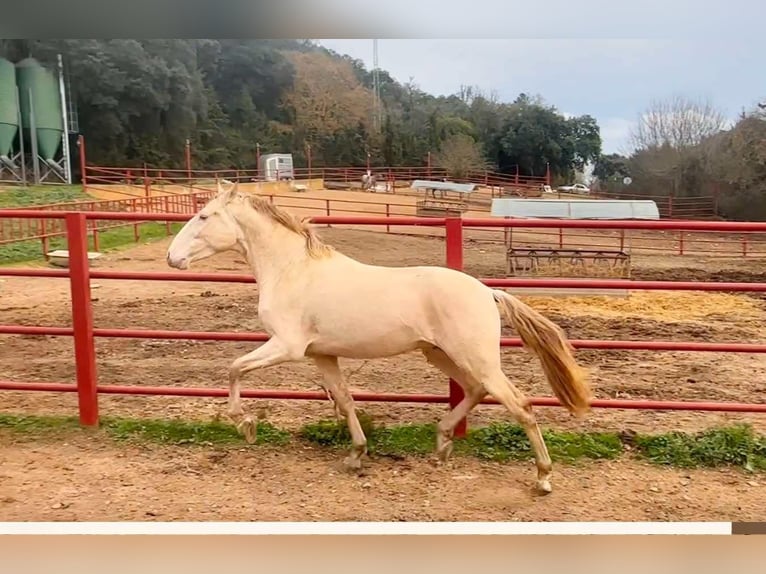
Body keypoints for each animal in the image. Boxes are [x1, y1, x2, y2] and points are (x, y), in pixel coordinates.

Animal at [165, 181, 592, 496]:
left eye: (204, 215)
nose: (172, 257)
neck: (293, 271)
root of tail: (488, 292)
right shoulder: (322, 354)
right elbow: (345, 399)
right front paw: (356, 455)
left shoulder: (287, 346)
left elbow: (234, 368)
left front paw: (246, 425)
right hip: (440, 354)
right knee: (475, 390)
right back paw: (441, 446)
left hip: (476, 358)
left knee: (520, 405)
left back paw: (542, 478)